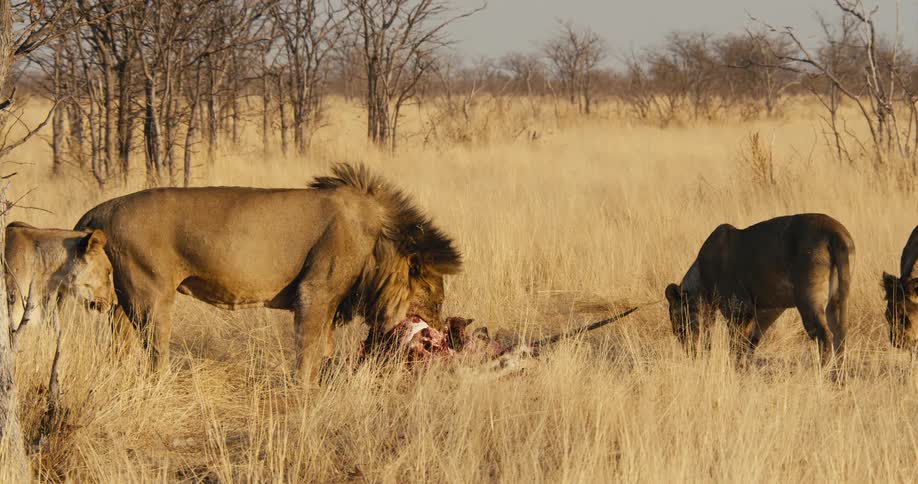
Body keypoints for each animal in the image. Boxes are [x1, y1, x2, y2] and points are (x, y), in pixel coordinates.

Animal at [74, 163, 462, 383]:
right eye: (435, 296)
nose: (441, 329)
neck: (380, 240)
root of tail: (97, 211)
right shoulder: (315, 291)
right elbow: (308, 349)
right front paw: (305, 391)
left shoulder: (330, 303)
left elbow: (323, 349)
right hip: (150, 297)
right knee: (156, 351)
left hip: (120, 302)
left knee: (120, 345)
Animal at [664, 213, 854, 363]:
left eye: (678, 322)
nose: (687, 348)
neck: (702, 278)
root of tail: (834, 231)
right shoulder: (767, 310)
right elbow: (751, 343)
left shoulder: (738, 309)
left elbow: (737, 345)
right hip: (838, 299)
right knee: (840, 334)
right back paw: (839, 378)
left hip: (807, 299)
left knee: (824, 336)